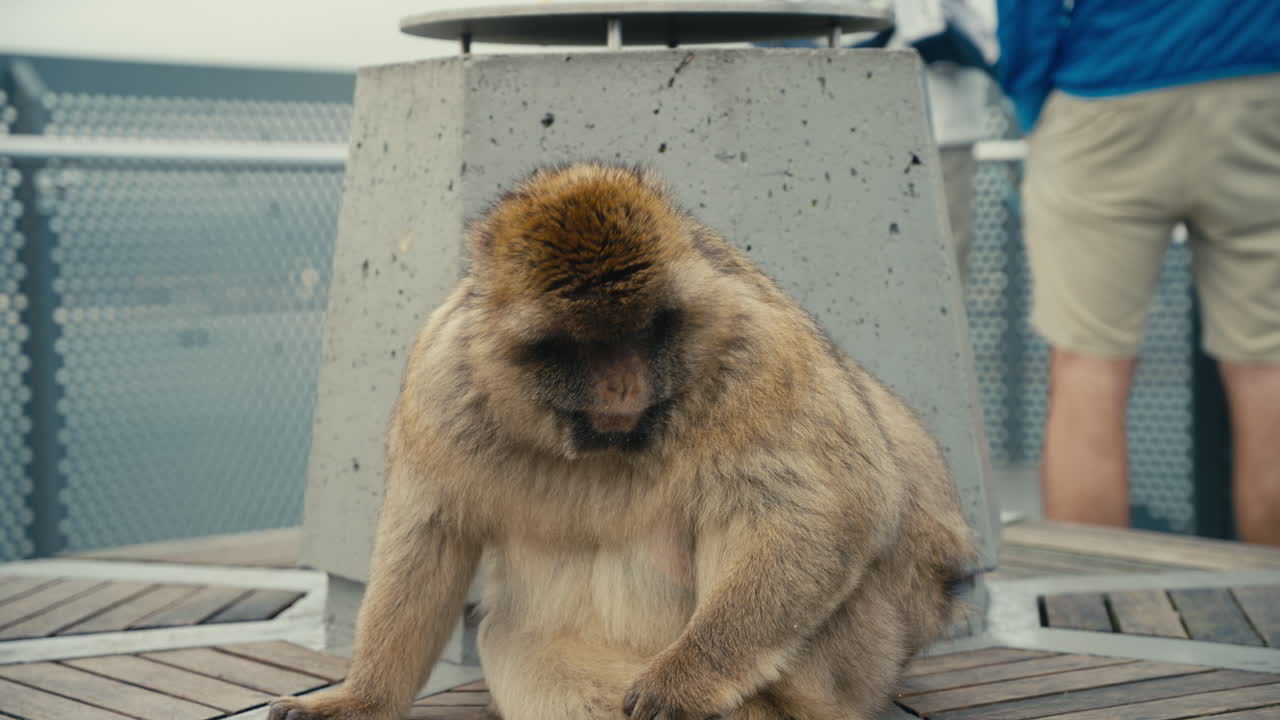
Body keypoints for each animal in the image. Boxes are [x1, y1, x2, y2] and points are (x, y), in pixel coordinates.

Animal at [269, 161, 977, 720]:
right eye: (580, 347)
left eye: (643, 331)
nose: (622, 385)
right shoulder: (442, 384)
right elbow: (428, 537)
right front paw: (362, 698)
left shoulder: (759, 352)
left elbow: (834, 507)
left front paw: (688, 678)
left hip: (862, 656)